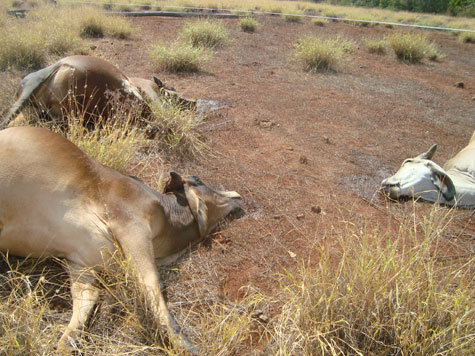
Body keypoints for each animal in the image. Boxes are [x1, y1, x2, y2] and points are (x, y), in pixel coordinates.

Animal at [0, 55, 196, 129]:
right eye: (173, 89)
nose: (193, 102)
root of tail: (59, 65)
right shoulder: (150, 91)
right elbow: (163, 112)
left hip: (32, 110)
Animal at [0, 126, 242, 352]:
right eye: (198, 180)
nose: (237, 195)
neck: (168, 215)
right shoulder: (131, 225)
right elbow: (152, 284)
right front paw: (184, 342)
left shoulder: (79, 262)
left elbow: (87, 297)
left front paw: (65, 343)